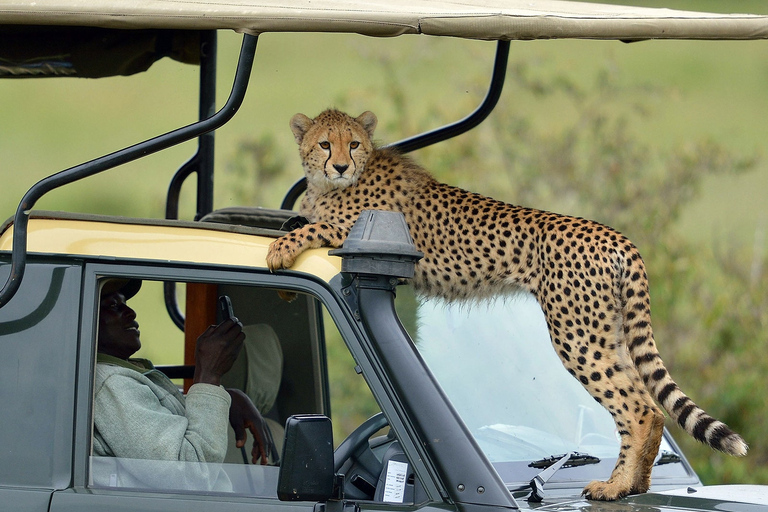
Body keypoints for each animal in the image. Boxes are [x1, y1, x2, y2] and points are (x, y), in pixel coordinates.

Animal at [268, 109, 748, 500]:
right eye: (325, 143)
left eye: (352, 143)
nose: (341, 164)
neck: (336, 182)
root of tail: (615, 234)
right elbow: (302, 217)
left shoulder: (358, 230)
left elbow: (313, 226)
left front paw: (278, 248)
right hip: (605, 332)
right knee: (647, 405)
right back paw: (635, 484)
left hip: (577, 336)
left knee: (640, 408)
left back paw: (615, 487)